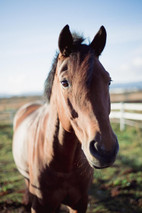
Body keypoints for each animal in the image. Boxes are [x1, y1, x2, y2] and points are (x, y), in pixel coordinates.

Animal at [12, 25, 118, 213]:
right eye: (64, 82)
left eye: (109, 80)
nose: (105, 150)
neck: (63, 165)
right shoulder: (41, 206)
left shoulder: (80, 203)